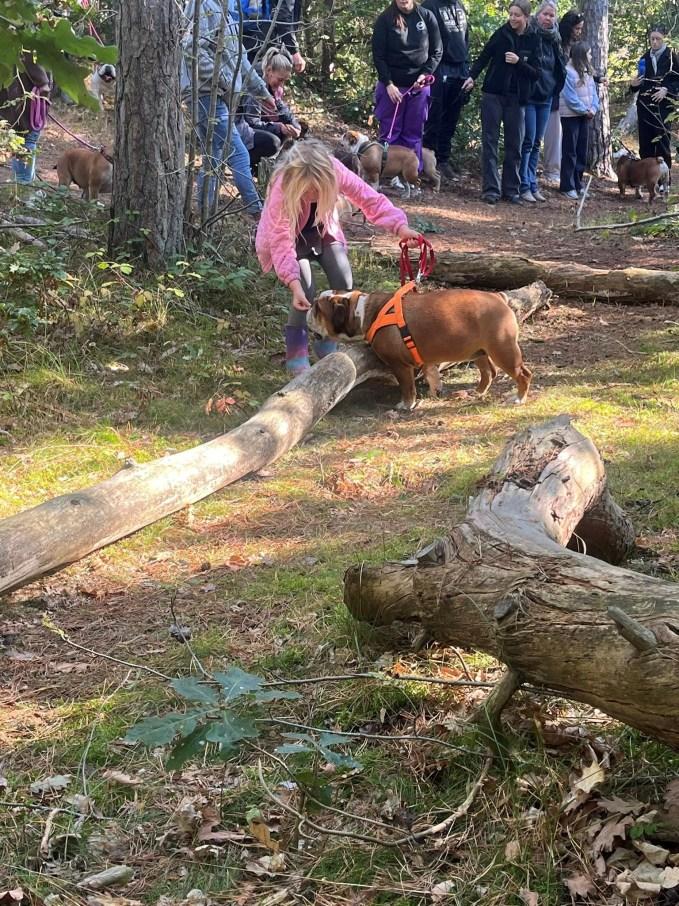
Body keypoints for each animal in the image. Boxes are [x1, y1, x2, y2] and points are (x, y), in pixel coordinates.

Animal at [308, 286, 531, 409]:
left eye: (318, 309)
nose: (308, 309)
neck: (360, 311)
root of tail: (499, 298)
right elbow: (431, 374)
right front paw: (435, 389)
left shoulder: (399, 366)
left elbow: (407, 387)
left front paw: (406, 405)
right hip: (479, 352)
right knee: (488, 372)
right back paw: (477, 392)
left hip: (502, 350)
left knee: (523, 374)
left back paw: (518, 399)